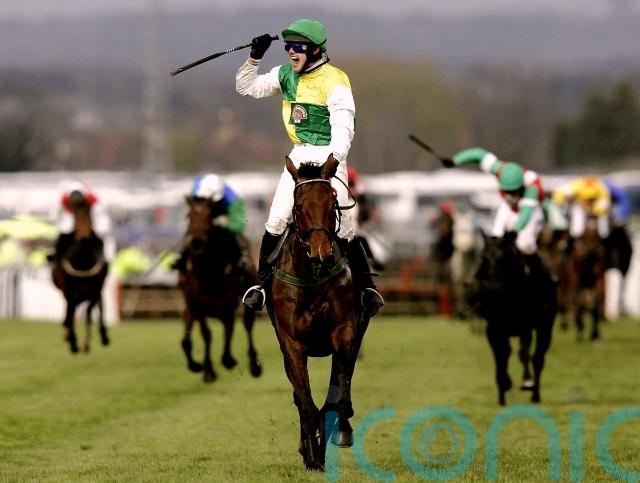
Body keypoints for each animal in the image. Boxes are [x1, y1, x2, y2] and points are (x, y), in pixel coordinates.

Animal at [177, 196, 262, 383]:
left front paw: (225, 361)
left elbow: (231, 328)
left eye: (209, 216)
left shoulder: (227, 302)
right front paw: (207, 370)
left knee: (247, 323)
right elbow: (206, 334)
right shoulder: (197, 305)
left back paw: (252, 364)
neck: (208, 273)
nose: (197, 242)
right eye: (188, 215)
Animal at [266, 155, 366, 471]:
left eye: (333, 202)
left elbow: (338, 394)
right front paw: (312, 455)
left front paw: (337, 433)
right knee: (301, 398)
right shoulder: (292, 344)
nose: (321, 254)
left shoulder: (344, 334)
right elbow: (306, 402)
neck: (312, 278)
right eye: (297, 206)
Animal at [471, 232, 556, 405]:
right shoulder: (494, 328)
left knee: (537, 358)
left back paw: (534, 393)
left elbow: (525, 353)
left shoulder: (527, 326)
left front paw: (527, 383)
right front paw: (503, 385)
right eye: (484, 258)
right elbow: (501, 354)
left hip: (545, 326)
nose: (492, 287)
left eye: (505, 257)